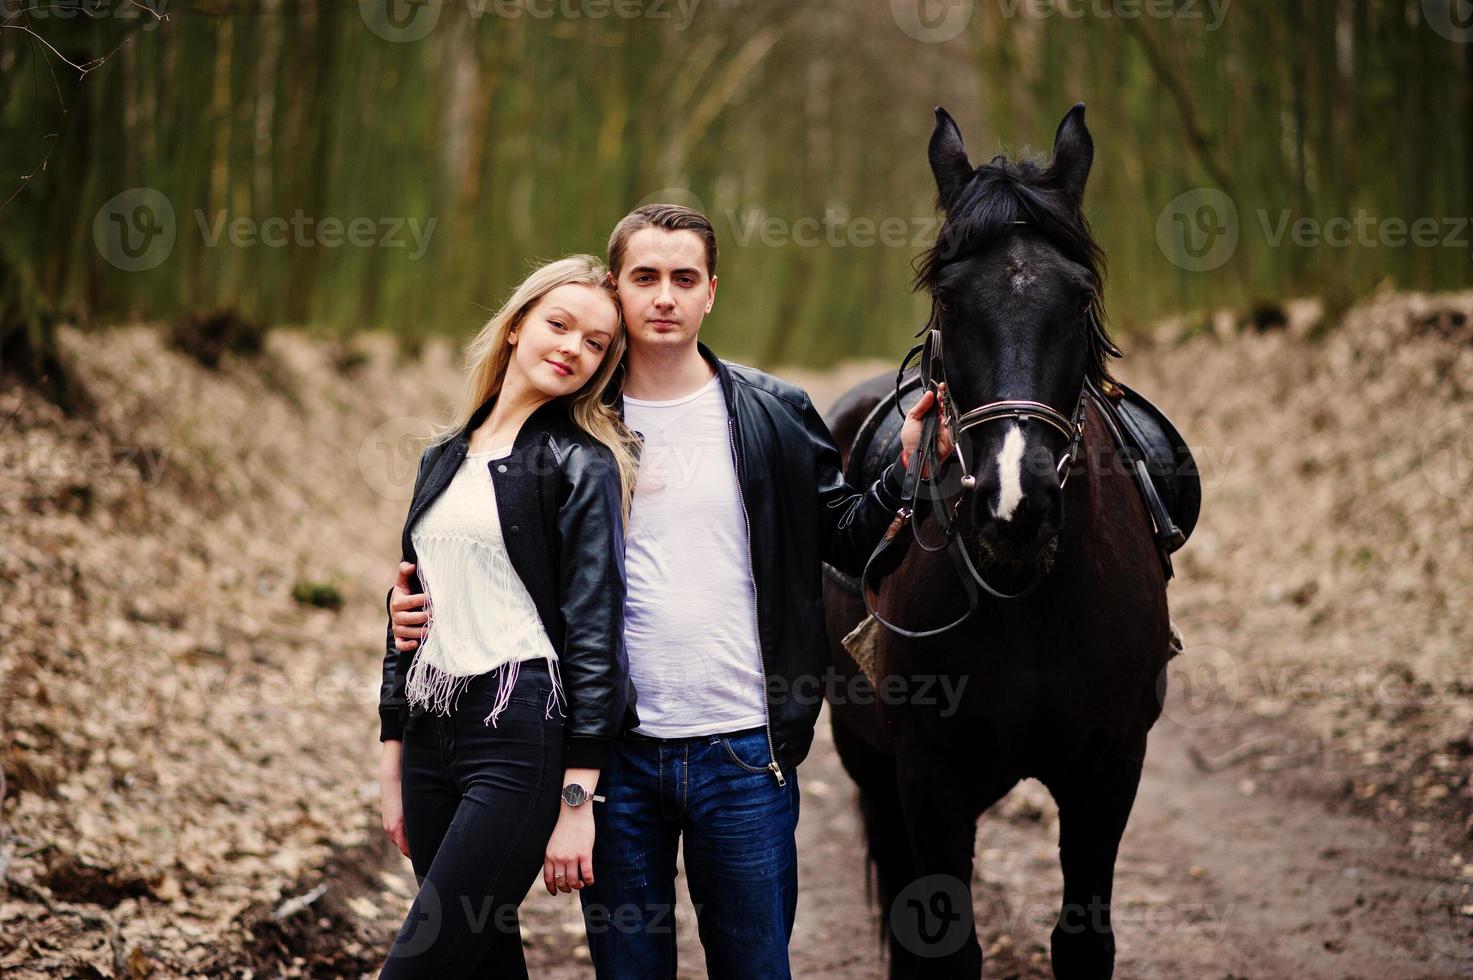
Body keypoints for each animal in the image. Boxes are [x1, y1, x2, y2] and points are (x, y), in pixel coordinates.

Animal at [818, 103, 1172, 972]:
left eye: (1078, 300)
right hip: (867, 759)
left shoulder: (1110, 768)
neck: (1028, 600)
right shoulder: (928, 776)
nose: (1016, 502)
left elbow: (1082, 942)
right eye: (948, 300)